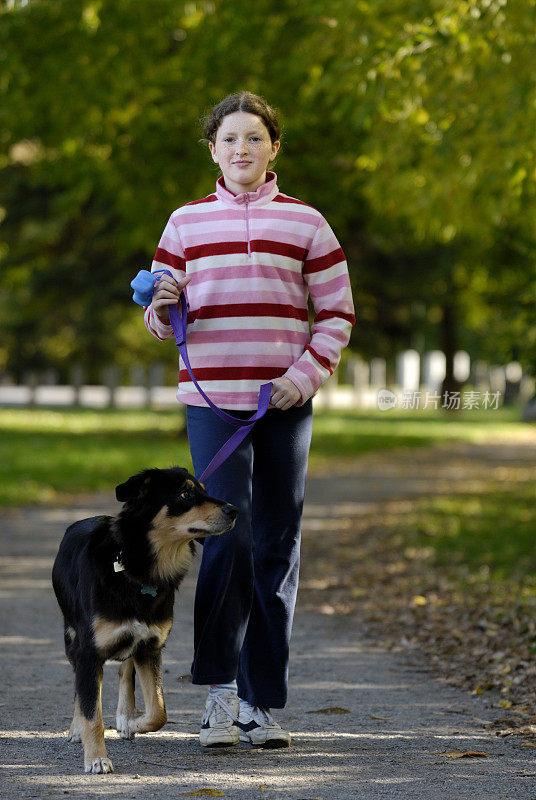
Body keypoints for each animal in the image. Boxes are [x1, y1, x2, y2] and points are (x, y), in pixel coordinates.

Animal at [51, 466, 237, 772]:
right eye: (185, 495)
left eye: (204, 490)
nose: (234, 510)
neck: (139, 570)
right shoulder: (88, 650)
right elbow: (92, 710)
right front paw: (97, 757)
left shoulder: (150, 646)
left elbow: (159, 711)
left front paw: (132, 722)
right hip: (71, 638)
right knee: (83, 685)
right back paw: (78, 728)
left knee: (125, 671)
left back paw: (126, 715)